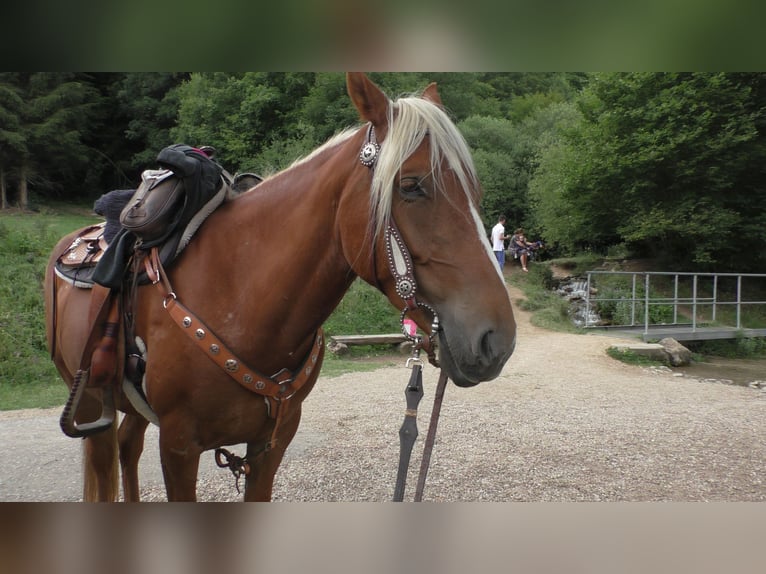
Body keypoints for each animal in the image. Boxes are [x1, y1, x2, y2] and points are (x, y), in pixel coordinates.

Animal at [44, 72, 517, 501]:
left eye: (474, 191)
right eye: (411, 186)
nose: (496, 340)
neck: (238, 293)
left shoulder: (273, 442)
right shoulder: (178, 445)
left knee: (128, 445)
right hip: (91, 404)